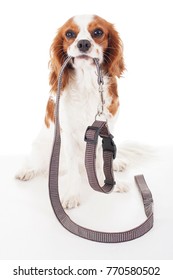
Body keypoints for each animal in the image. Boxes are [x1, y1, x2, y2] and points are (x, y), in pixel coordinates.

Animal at [15, 14, 128, 208]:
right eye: (69, 34)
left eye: (98, 32)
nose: (83, 43)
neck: (87, 82)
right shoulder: (67, 135)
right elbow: (74, 168)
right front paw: (73, 195)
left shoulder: (105, 131)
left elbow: (102, 162)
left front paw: (110, 183)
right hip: (40, 147)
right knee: (37, 163)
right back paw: (27, 170)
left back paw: (117, 163)